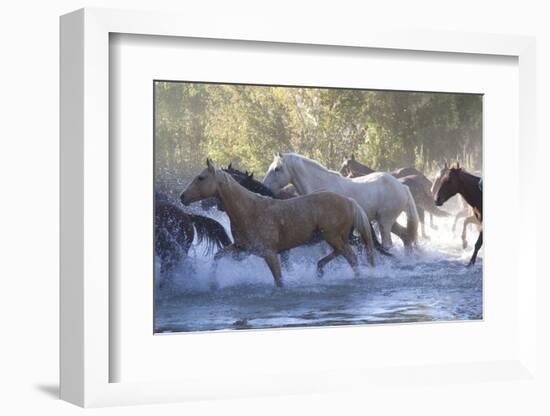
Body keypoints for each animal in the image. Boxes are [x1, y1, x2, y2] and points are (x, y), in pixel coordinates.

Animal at [183, 161, 378, 288]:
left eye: (201, 178)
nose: (182, 196)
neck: (249, 209)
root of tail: (349, 201)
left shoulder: (270, 254)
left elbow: (279, 280)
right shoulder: (242, 249)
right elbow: (217, 256)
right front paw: (212, 282)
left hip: (334, 237)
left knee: (351, 257)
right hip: (334, 238)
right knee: (344, 254)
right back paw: (320, 269)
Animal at [266, 153, 420, 250]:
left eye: (277, 169)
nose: (265, 187)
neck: (321, 185)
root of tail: (402, 187)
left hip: (385, 222)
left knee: (388, 244)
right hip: (388, 221)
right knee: (406, 237)